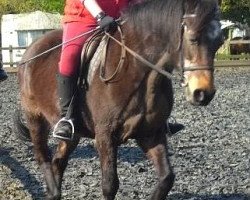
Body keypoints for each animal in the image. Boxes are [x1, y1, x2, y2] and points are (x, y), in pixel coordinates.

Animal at [14, 0, 224, 199]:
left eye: (219, 43)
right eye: (193, 39)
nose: (203, 93)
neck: (137, 71)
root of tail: (31, 50)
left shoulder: (151, 134)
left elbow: (166, 178)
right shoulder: (105, 136)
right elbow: (110, 185)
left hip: (74, 133)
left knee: (59, 160)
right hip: (35, 118)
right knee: (43, 157)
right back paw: (53, 191)